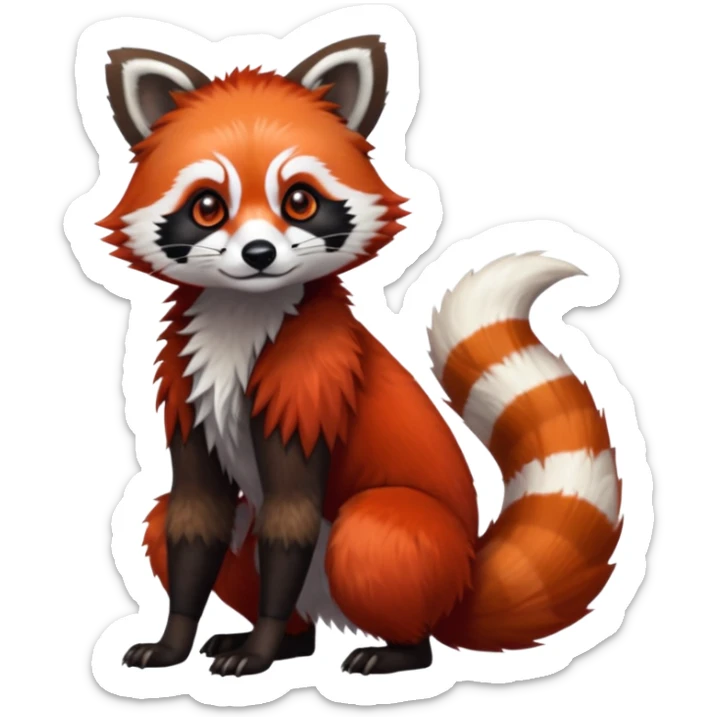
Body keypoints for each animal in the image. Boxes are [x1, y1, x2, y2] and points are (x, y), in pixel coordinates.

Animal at [97, 36, 623, 677]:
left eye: (299, 201)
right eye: (207, 208)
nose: (259, 254)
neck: (242, 318)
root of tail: (464, 581)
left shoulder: (309, 384)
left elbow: (291, 513)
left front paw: (260, 647)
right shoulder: (191, 391)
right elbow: (193, 515)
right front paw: (177, 638)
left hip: (402, 547)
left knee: (375, 531)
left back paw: (395, 649)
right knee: (181, 520)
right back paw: (293, 638)